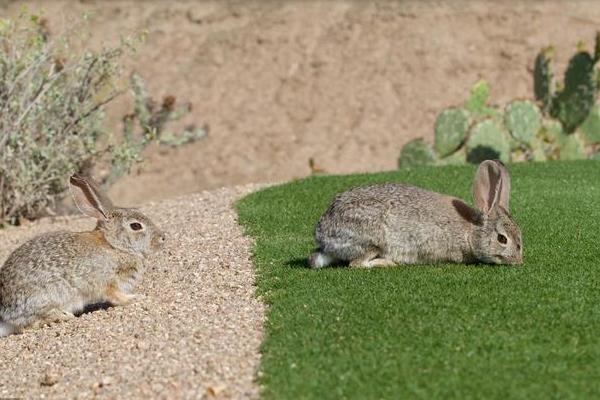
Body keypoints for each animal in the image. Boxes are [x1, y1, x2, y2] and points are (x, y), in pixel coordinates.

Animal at [0, 173, 165, 336]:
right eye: (136, 226)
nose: (162, 238)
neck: (113, 245)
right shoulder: (106, 281)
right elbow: (116, 296)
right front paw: (136, 298)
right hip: (45, 297)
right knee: (27, 325)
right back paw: (61, 316)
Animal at [310, 159, 520, 268]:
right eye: (502, 239)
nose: (518, 260)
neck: (471, 231)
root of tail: (323, 236)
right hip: (371, 240)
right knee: (356, 263)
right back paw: (387, 263)